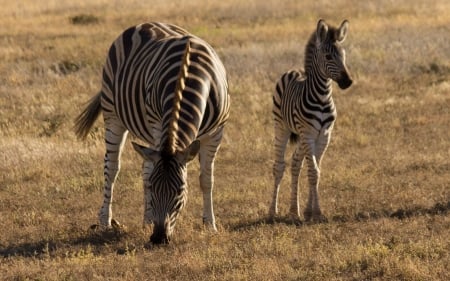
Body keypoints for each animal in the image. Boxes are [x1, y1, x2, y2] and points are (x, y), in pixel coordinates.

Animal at [74, 21, 230, 243]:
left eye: (181, 191)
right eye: (154, 189)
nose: (158, 238)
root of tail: (144, 23)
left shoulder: (216, 132)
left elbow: (206, 179)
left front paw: (210, 225)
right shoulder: (158, 123)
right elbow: (148, 174)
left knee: (146, 166)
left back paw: (147, 220)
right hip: (113, 113)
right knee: (112, 168)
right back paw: (105, 221)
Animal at [268, 19, 354, 221]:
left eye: (343, 55)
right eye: (328, 56)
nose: (348, 82)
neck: (322, 98)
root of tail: (293, 70)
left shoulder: (324, 135)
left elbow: (316, 171)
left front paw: (310, 211)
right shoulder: (308, 135)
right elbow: (313, 171)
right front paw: (317, 212)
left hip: (303, 137)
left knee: (295, 164)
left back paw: (294, 210)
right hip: (281, 127)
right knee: (279, 166)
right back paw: (272, 211)